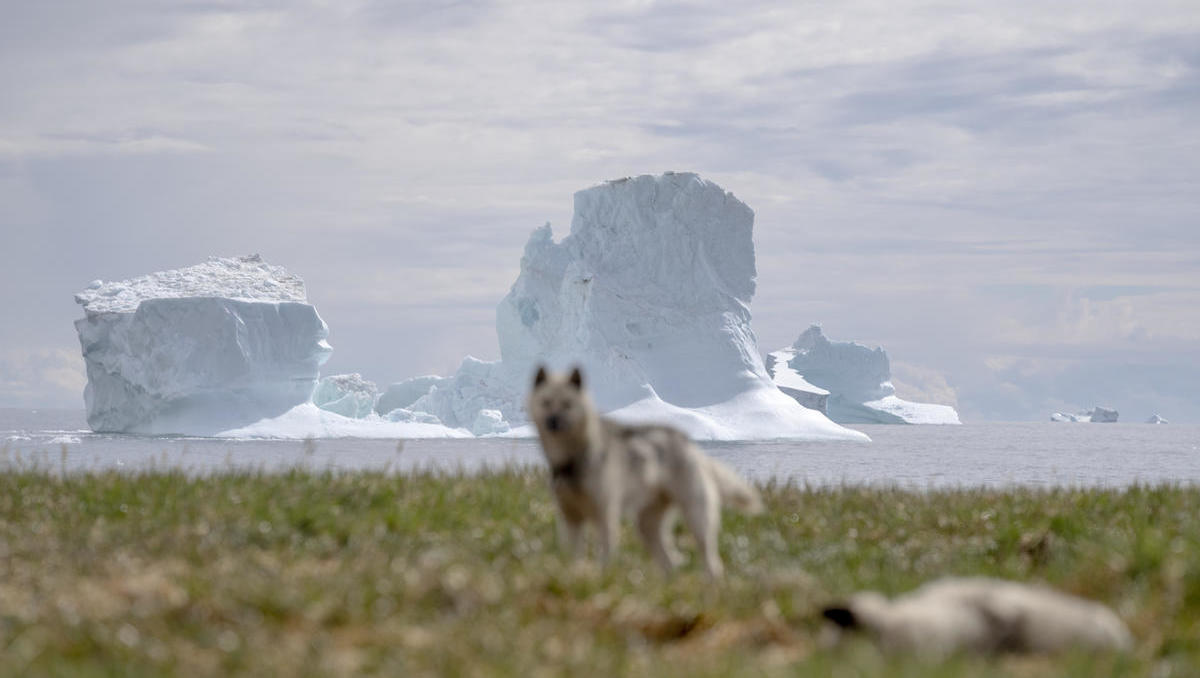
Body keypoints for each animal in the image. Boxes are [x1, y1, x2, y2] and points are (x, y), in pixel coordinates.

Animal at [530, 364, 763, 576]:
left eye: (567, 404)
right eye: (546, 402)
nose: (553, 421)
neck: (572, 459)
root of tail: (691, 447)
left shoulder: (605, 515)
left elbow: (606, 556)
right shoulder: (569, 517)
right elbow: (573, 558)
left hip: (696, 518)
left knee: (712, 564)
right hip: (646, 526)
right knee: (670, 563)